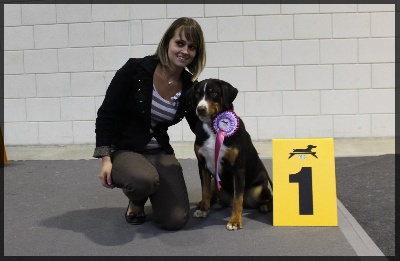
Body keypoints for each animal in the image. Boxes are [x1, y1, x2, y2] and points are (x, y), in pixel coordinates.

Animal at [187, 77, 274, 230]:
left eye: (214, 93)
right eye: (197, 95)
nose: (200, 109)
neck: (212, 127)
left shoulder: (237, 169)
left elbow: (237, 199)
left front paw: (235, 221)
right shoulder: (202, 165)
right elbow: (205, 191)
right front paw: (203, 210)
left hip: (258, 190)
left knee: (269, 199)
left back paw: (265, 206)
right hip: (215, 181)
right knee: (213, 195)